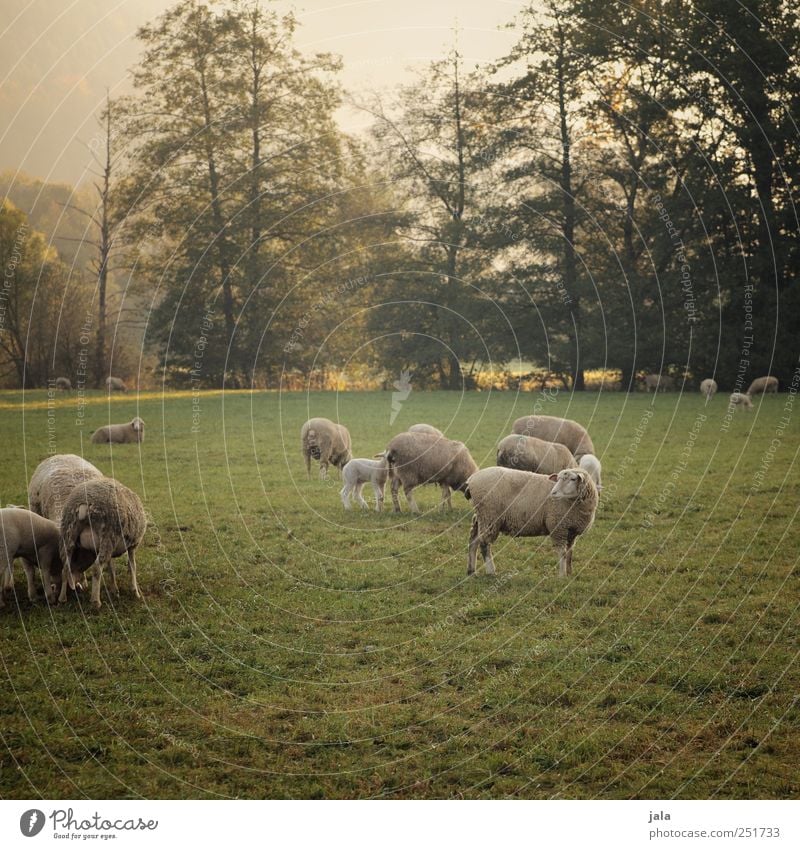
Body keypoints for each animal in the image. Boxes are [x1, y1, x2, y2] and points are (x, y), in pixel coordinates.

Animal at [59, 474, 148, 608]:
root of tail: (83, 504)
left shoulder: (113, 550)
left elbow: (112, 568)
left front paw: (115, 590)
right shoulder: (133, 545)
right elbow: (133, 566)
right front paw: (136, 592)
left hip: (69, 533)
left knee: (65, 567)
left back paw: (62, 598)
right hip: (108, 534)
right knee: (96, 568)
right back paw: (96, 602)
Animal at [462, 464, 600, 576]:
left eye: (573, 479)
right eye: (558, 479)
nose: (553, 493)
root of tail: (471, 480)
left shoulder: (571, 530)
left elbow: (570, 553)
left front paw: (569, 572)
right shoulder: (558, 527)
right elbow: (562, 553)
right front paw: (562, 575)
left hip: (480, 516)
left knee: (473, 540)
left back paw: (471, 570)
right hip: (490, 516)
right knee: (484, 544)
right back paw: (491, 571)